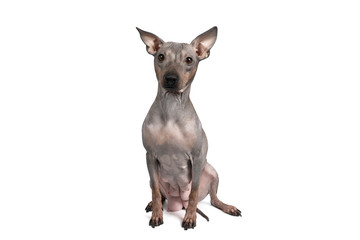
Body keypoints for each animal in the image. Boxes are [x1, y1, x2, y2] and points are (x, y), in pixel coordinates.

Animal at [136, 26, 240, 231]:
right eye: (161, 57)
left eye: (189, 60)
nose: (170, 78)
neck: (171, 109)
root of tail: (178, 203)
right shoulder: (150, 156)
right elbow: (155, 191)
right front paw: (157, 215)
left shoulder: (197, 157)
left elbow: (194, 191)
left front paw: (190, 218)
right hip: (154, 173)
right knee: (160, 193)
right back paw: (154, 205)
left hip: (211, 170)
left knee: (213, 199)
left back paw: (227, 207)